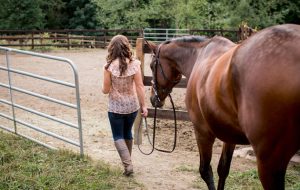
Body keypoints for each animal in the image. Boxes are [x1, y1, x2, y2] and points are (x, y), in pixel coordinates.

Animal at [148, 24, 300, 190]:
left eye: (151, 66)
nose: (153, 98)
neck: (199, 55)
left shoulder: (202, 132)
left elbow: (205, 170)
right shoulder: (229, 135)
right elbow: (223, 169)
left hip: (269, 162)